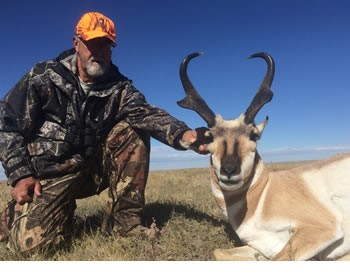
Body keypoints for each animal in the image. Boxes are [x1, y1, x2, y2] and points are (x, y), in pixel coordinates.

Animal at [178, 51, 350, 260]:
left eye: (254, 135)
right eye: (210, 137)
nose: (229, 170)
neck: (262, 194)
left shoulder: (323, 228)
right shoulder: (258, 246)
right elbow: (218, 251)